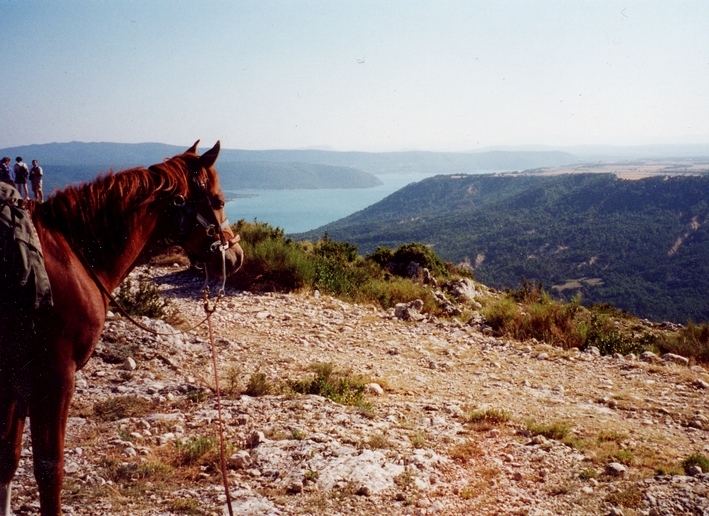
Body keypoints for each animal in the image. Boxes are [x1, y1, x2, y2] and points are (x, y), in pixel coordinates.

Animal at [0, 142, 242, 516]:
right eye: (217, 201)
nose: (236, 257)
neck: (72, 253)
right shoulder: (53, 376)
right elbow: (49, 469)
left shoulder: (16, 380)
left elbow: (8, 460)